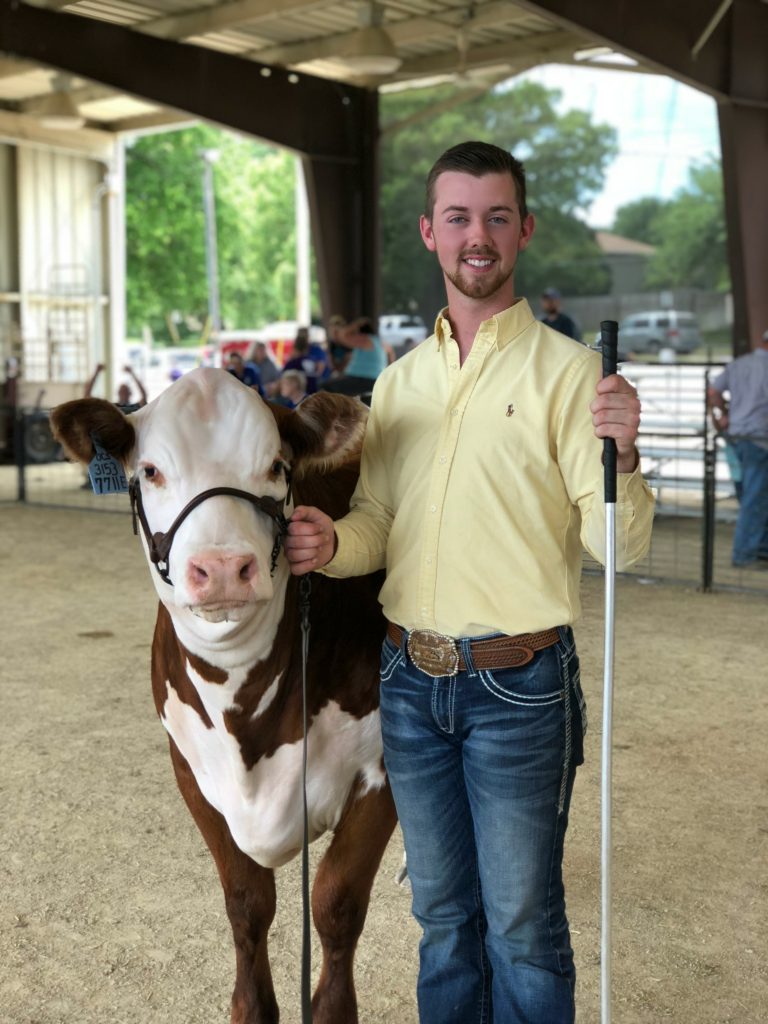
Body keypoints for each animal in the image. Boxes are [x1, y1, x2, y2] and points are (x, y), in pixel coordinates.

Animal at [51, 368, 398, 1024]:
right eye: (150, 470)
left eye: (277, 466)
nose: (221, 568)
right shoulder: (189, 768)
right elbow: (246, 903)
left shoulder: (385, 769)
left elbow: (336, 904)